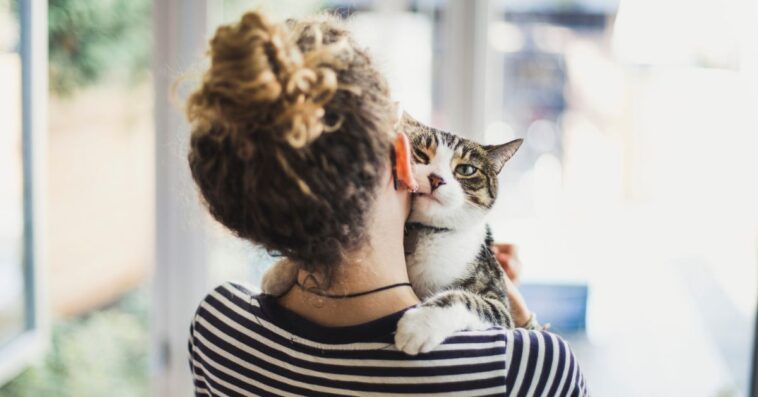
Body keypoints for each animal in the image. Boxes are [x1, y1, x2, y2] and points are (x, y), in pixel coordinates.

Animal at [262, 113, 528, 354]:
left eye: (466, 169)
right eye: (421, 154)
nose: (436, 179)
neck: (425, 234)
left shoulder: (498, 300)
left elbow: (467, 300)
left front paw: (419, 325)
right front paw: (278, 273)